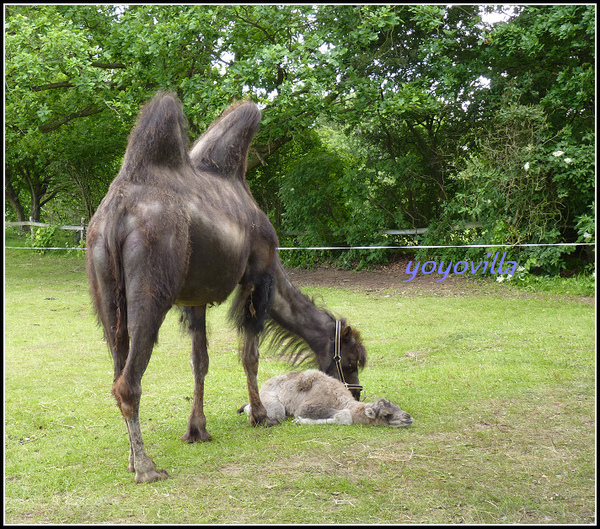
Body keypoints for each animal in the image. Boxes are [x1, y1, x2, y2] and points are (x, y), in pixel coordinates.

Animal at [239, 370, 412, 426]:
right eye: (386, 415)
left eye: (397, 407)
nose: (408, 417)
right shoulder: (308, 407)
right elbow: (343, 417)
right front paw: (299, 421)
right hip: (272, 400)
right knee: (277, 412)